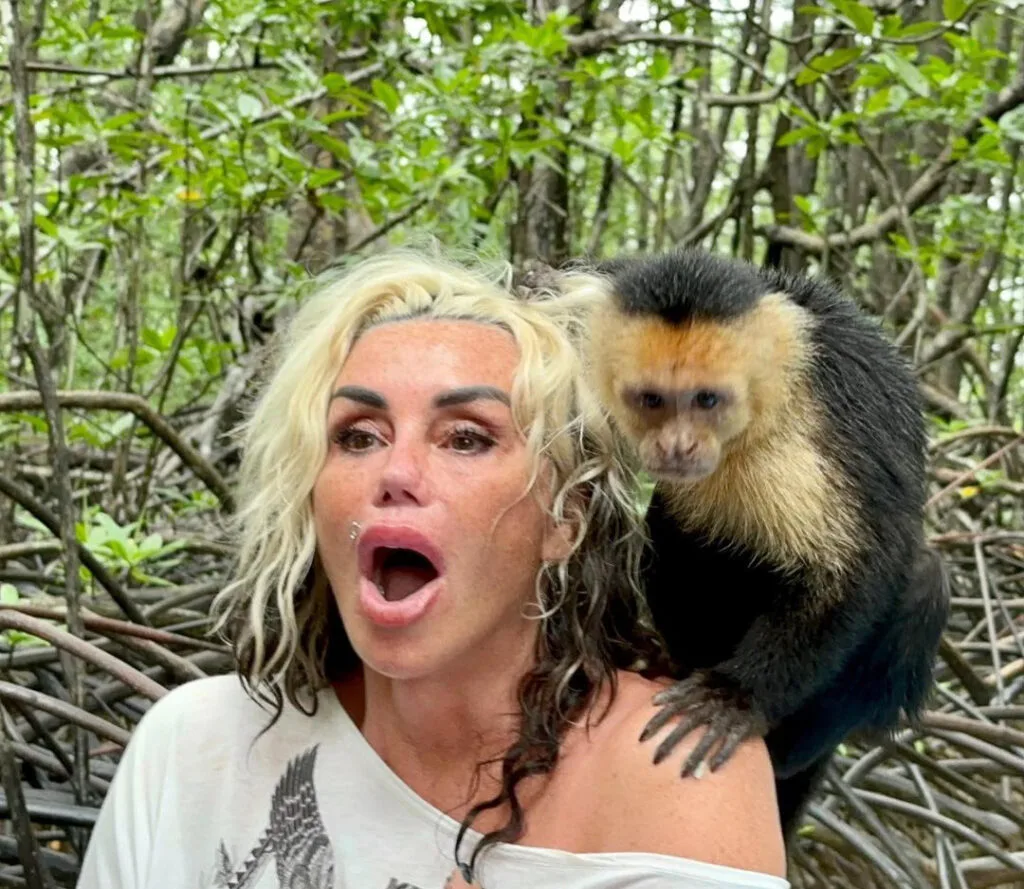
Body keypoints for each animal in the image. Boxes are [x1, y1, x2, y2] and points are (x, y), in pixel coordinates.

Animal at [561, 249, 950, 836]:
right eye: (652, 400)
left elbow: (853, 571)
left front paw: (736, 697)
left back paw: (787, 747)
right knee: (679, 516)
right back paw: (679, 660)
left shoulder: (804, 433)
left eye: (707, 400)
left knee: (924, 577)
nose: (677, 446)